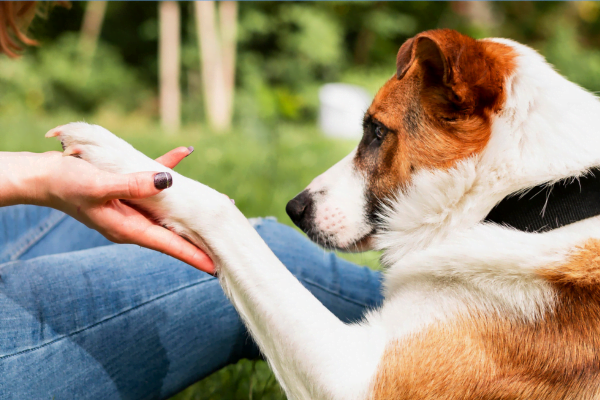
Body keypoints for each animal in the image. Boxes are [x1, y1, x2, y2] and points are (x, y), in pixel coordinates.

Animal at [48, 29, 600, 398]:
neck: (529, 198)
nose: (294, 209)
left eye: (376, 132)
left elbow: (222, 210)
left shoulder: (351, 378)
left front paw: (122, 157)